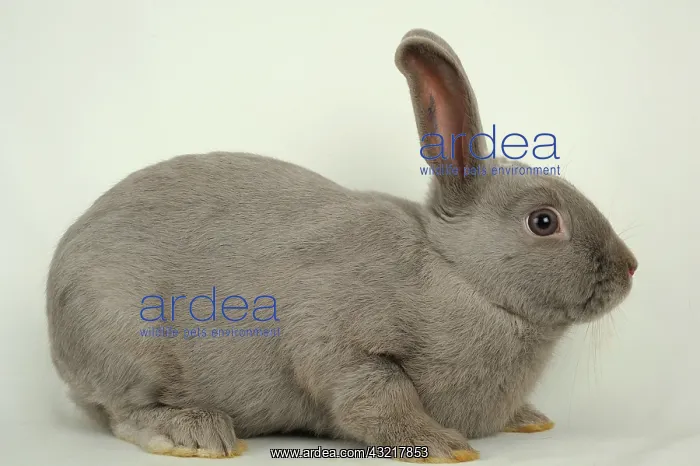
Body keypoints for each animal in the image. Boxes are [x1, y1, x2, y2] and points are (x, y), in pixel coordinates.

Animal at [46, 28, 637, 463]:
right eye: (543, 221)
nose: (630, 268)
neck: (458, 274)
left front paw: (529, 419)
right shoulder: (337, 339)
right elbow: (375, 394)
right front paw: (443, 446)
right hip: (125, 338)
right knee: (125, 414)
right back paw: (200, 433)